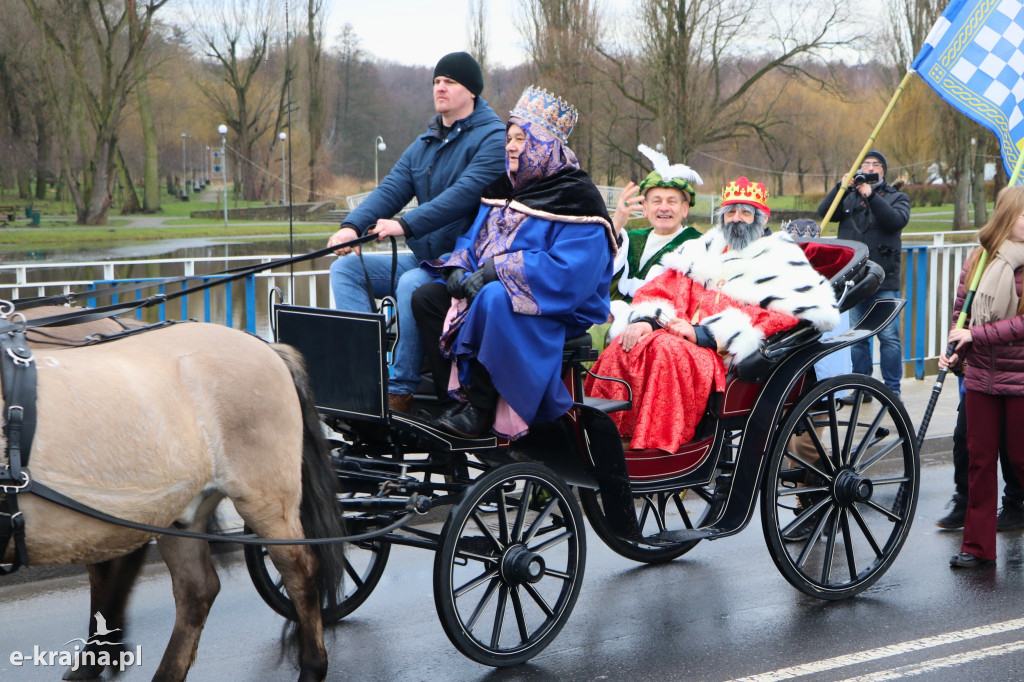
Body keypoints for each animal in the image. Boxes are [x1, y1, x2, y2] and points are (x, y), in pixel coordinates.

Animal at [2, 315, 346, 679]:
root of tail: (265, 345)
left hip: (265, 500)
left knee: (301, 573)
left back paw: (312, 666)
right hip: (175, 510)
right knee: (196, 590)